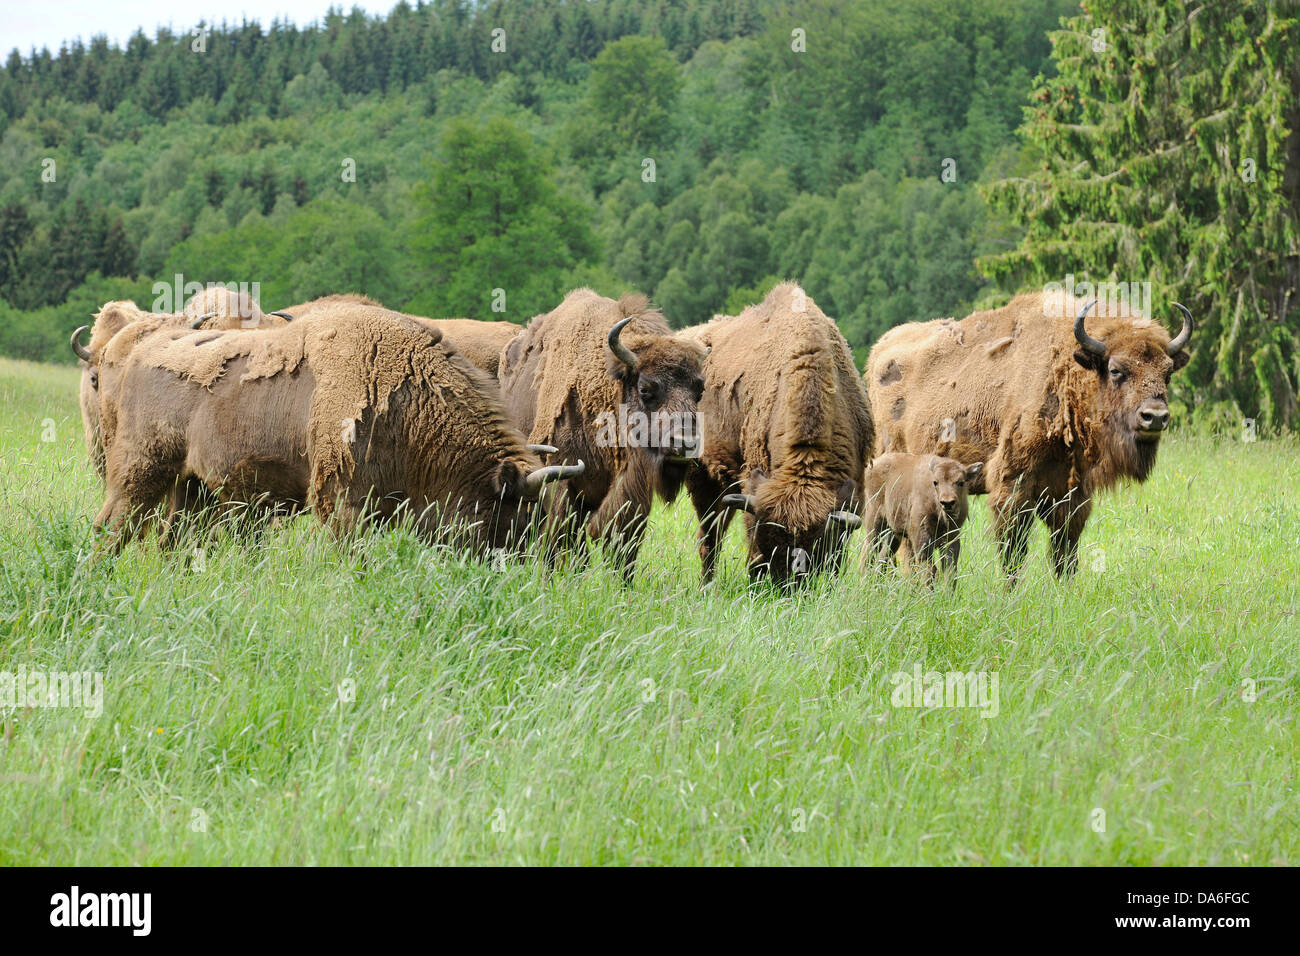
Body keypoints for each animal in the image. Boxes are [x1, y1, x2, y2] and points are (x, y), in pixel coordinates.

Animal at [89, 303, 582, 556]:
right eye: (507, 513)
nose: (509, 568)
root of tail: (141, 351)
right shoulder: (342, 501)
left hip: (193, 490)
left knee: (171, 539)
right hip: (143, 472)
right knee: (113, 524)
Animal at [493, 287, 707, 580]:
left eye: (699, 390)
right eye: (645, 389)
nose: (685, 443)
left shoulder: (630, 490)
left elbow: (622, 538)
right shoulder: (561, 479)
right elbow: (561, 534)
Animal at [681, 280, 873, 587]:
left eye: (817, 546)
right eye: (770, 542)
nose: (788, 586)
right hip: (704, 480)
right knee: (710, 539)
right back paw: (706, 586)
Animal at [868, 291, 1190, 580]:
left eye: (1168, 372)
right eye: (1116, 370)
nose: (1155, 416)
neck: (1064, 370)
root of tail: (879, 351)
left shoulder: (1071, 492)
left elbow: (1065, 550)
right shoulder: (1013, 484)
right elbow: (1013, 549)